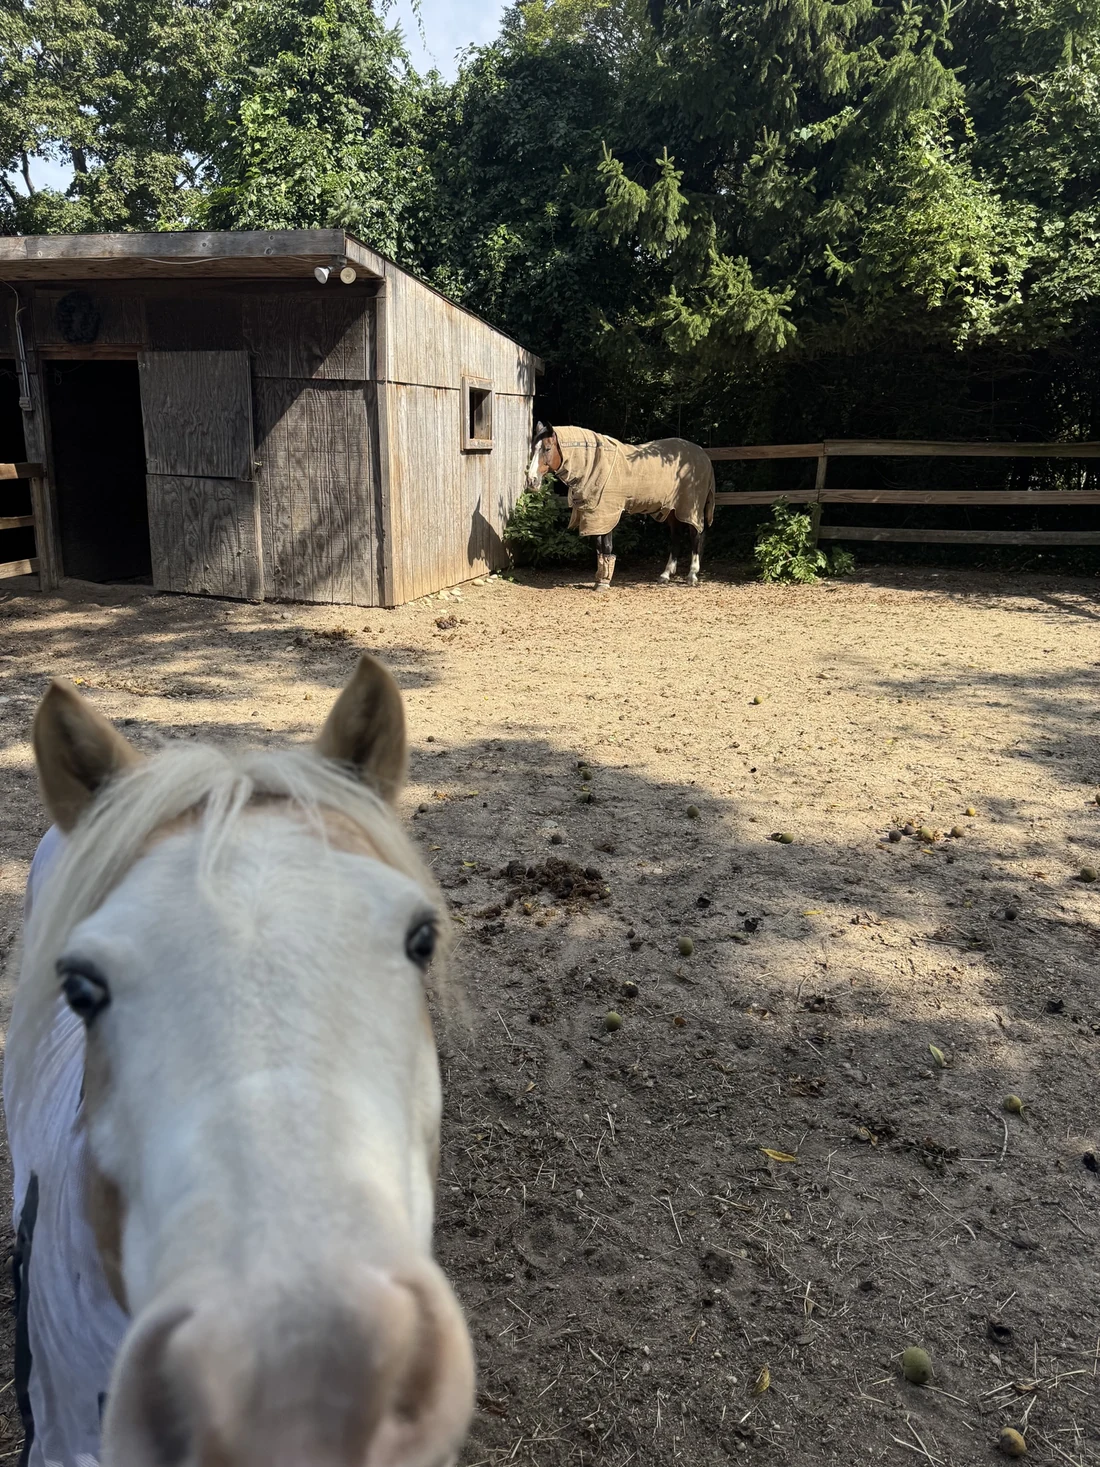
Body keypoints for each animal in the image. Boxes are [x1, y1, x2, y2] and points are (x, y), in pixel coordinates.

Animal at [527, 421, 716, 590]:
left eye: (547, 449)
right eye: (533, 449)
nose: (531, 480)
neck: (595, 465)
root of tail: (703, 455)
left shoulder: (608, 514)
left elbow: (607, 547)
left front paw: (604, 583)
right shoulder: (596, 517)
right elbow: (599, 547)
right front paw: (600, 579)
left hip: (691, 508)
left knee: (695, 536)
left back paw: (692, 575)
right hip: (673, 511)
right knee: (676, 538)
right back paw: (665, 575)